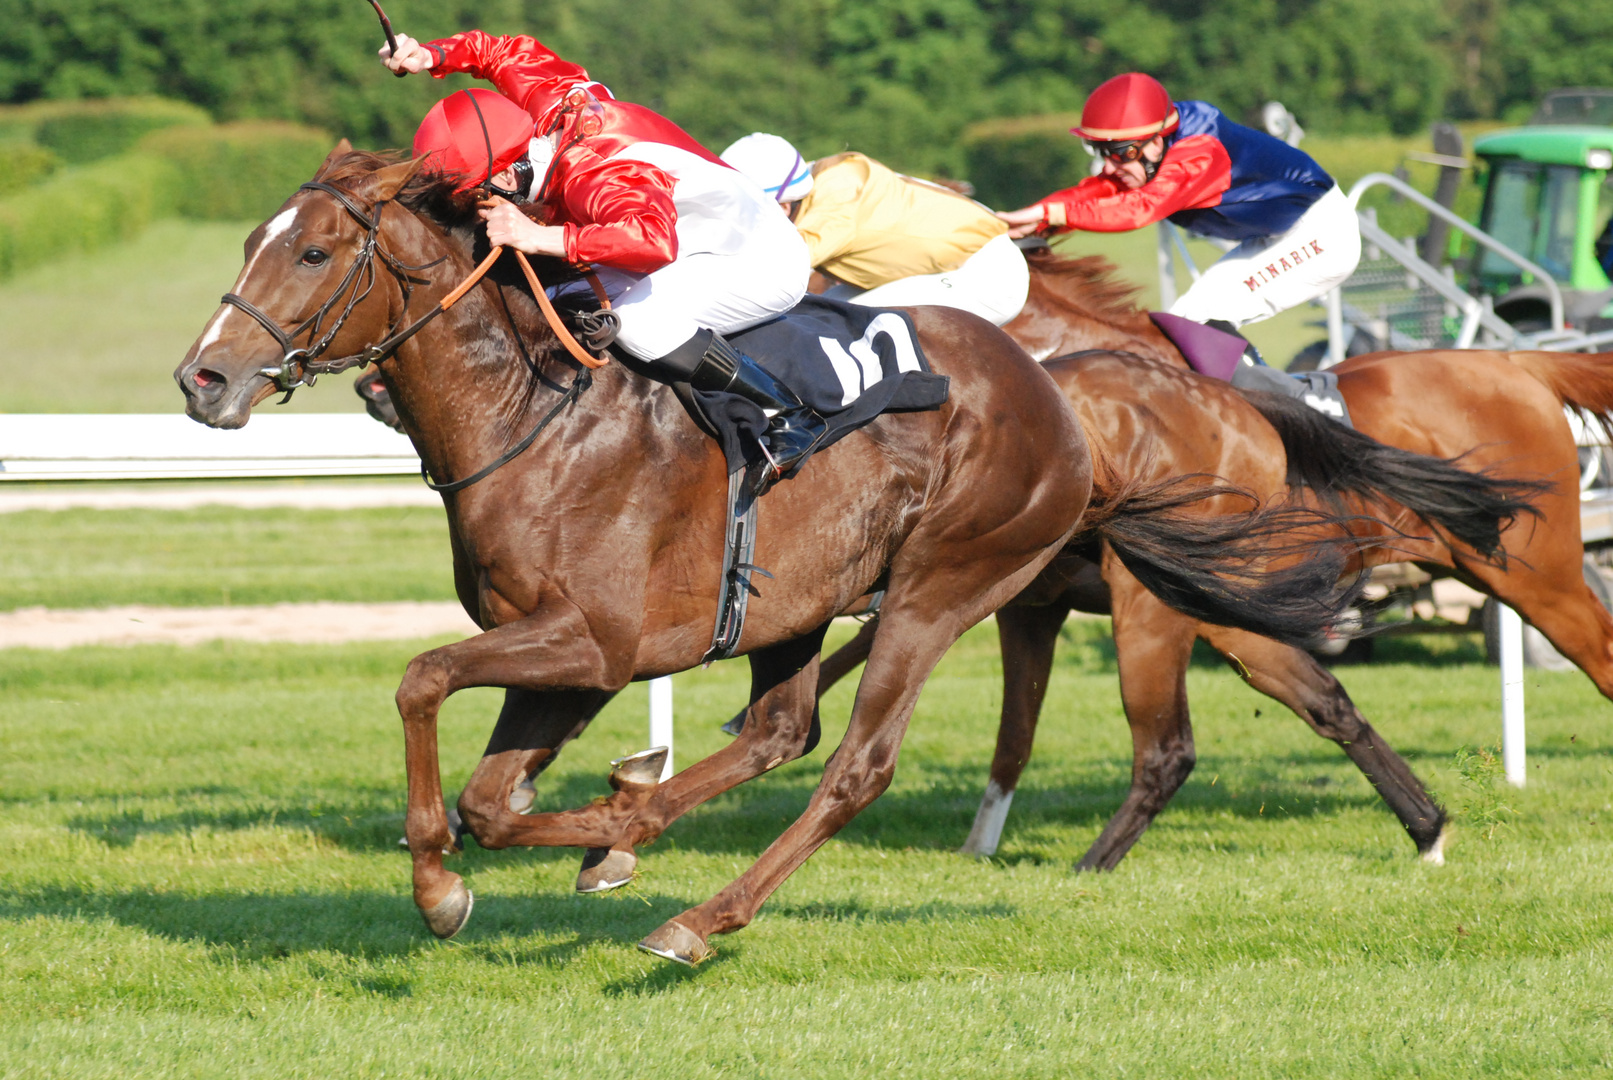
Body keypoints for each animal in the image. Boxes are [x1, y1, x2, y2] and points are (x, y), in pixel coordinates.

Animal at [176, 149, 1367, 967]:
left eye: (314, 252)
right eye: (246, 244)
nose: (203, 379)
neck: (534, 418)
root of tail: (1067, 401)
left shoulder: (591, 642)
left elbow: (421, 684)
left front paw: (445, 890)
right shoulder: (567, 655)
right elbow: (490, 801)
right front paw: (582, 837)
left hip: (941, 586)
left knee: (854, 766)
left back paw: (699, 918)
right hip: (800, 603)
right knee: (778, 729)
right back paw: (636, 833)